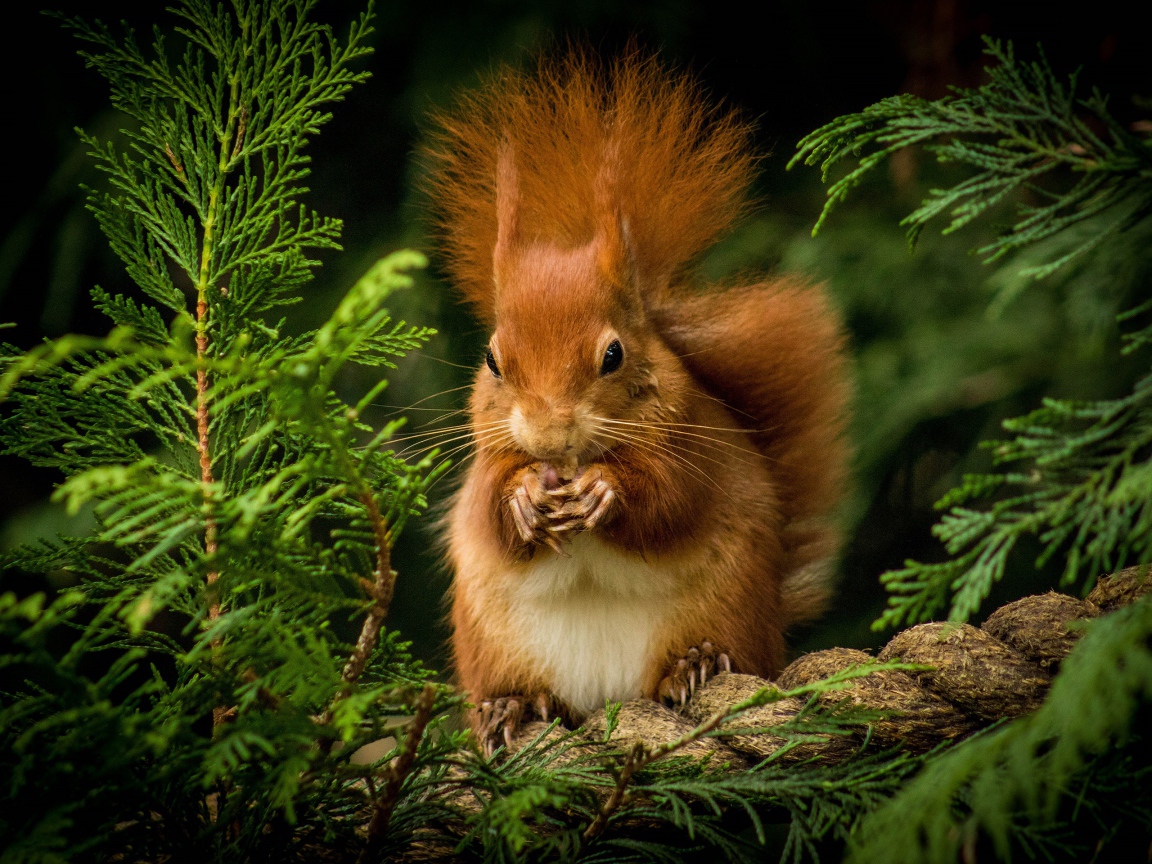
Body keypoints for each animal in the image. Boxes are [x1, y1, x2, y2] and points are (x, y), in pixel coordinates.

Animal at [428, 48, 852, 751]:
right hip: (492, 642)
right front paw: (524, 498)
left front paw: (606, 491)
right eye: (492, 361)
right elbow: (489, 510)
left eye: (614, 354)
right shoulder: (488, 455)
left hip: (727, 605)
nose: (550, 438)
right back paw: (509, 708)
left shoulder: (691, 439)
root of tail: (605, 696)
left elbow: (671, 499)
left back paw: (693, 666)